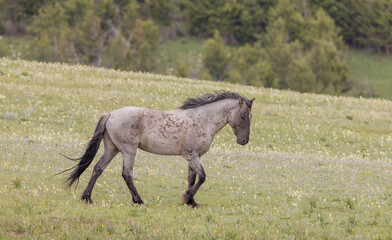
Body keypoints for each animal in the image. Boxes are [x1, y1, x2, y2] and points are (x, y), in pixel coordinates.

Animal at [64, 91, 254, 208]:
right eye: (243, 116)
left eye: (250, 117)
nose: (244, 141)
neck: (202, 120)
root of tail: (110, 114)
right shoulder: (191, 156)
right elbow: (202, 177)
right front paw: (186, 197)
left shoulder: (193, 156)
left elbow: (192, 178)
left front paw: (191, 202)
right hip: (128, 150)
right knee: (126, 174)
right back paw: (139, 201)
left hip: (112, 149)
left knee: (98, 168)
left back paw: (87, 198)